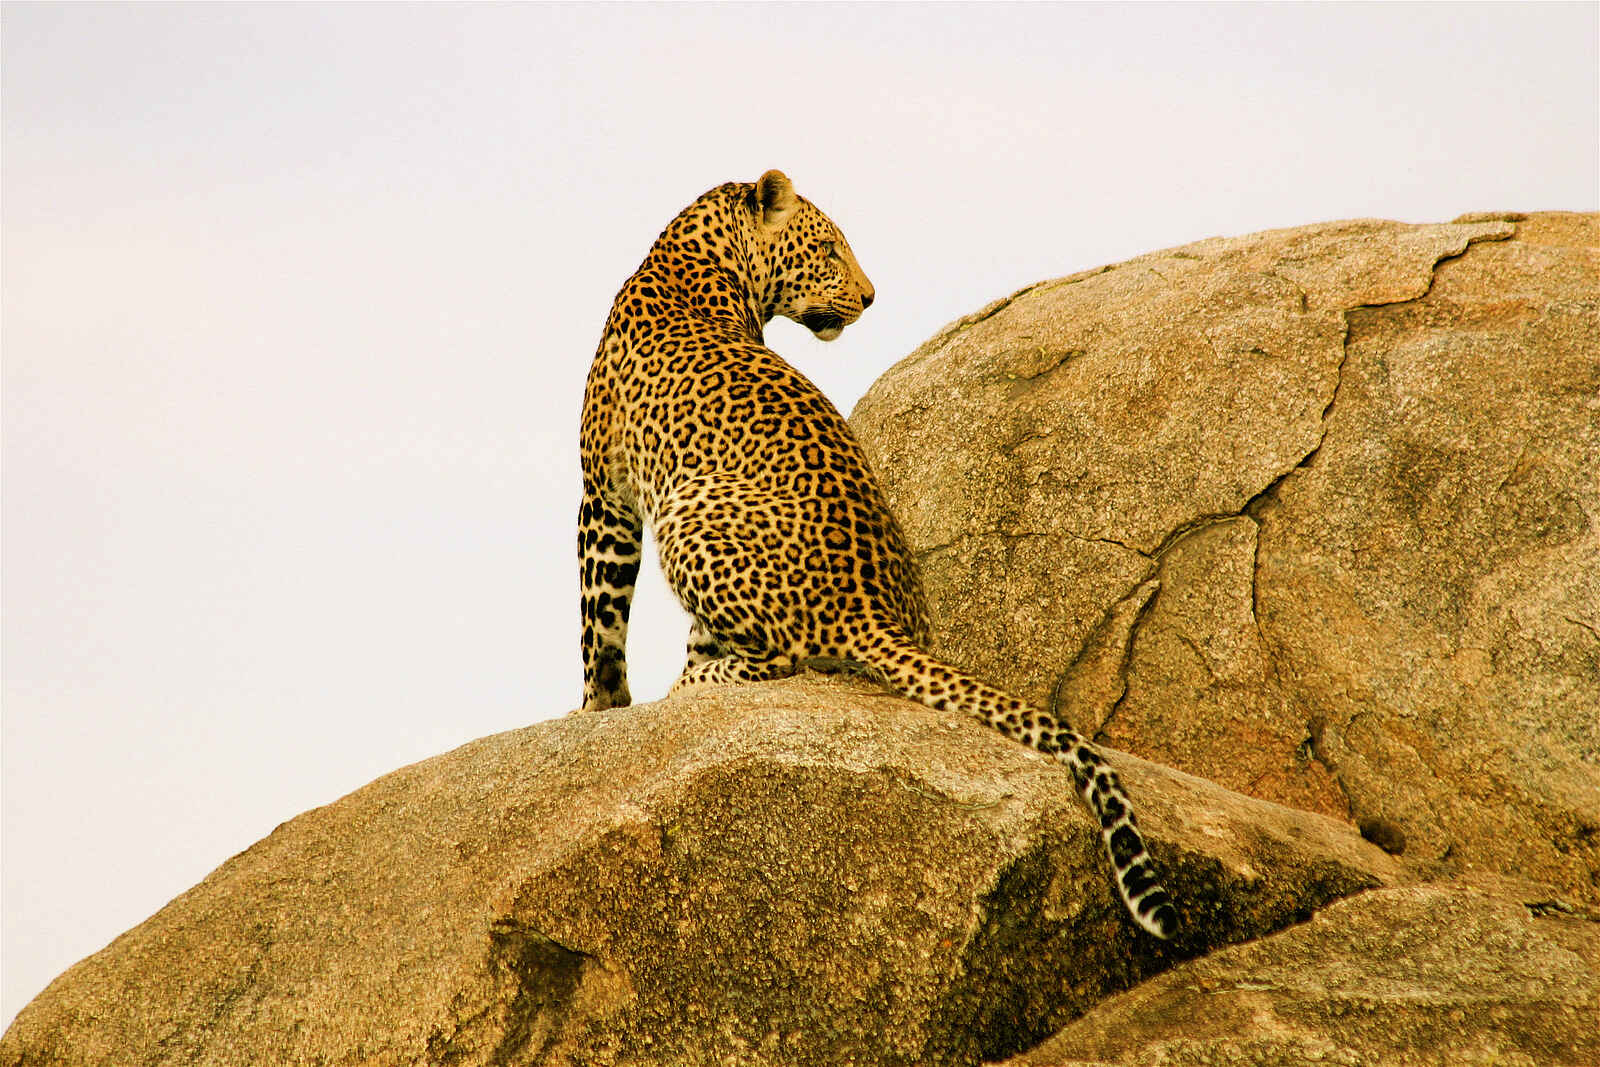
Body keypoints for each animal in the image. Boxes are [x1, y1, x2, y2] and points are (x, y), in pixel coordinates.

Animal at [577, 169, 1179, 940]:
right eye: (831, 249)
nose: (869, 297)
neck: (698, 257)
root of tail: (874, 613)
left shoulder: (606, 496)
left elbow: (599, 624)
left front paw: (595, 711)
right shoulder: (608, 492)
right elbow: (603, 620)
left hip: (688, 512)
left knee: (778, 656)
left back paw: (692, 688)